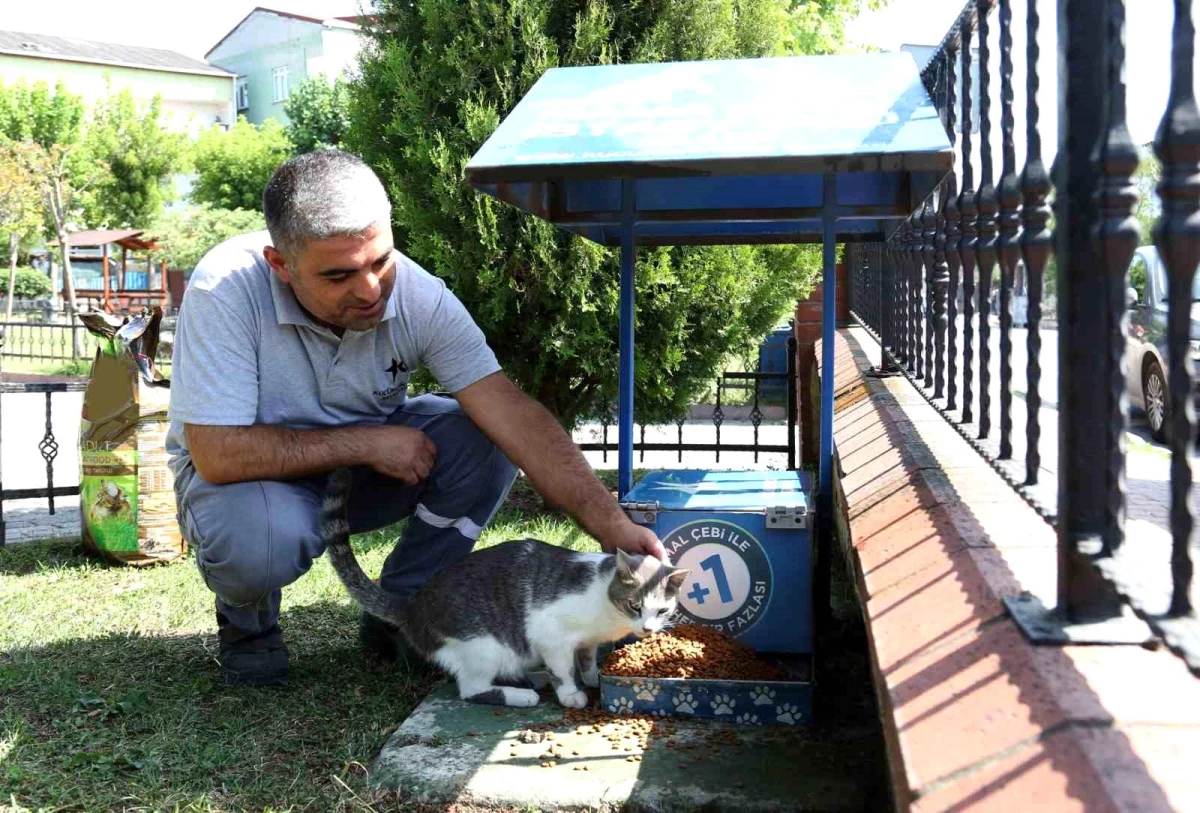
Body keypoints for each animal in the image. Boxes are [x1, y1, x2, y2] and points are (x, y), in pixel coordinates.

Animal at [324, 467, 691, 709]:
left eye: (662, 610)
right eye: (634, 605)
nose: (647, 629)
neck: (605, 607)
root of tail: (413, 605)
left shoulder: (586, 642)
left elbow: (585, 661)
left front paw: (591, 679)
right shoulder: (551, 635)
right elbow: (563, 668)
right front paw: (571, 693)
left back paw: (531, 678)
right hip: (485, 646)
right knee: (471, 689)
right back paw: (522, 694)